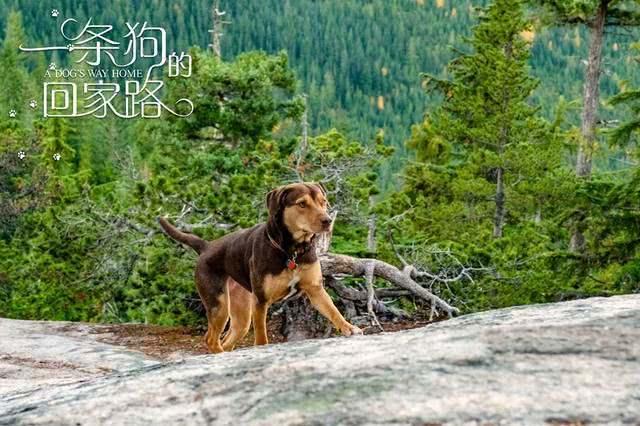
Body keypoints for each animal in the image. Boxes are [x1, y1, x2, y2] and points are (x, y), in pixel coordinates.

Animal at [158, 183, 362, 352]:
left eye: (323, 202)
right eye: (302, 204)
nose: (327, 221)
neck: (291, 250)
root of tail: (207, 246)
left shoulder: (315, 289)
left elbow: (333, 310)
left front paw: (348, 327)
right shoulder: (261, 300)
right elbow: (262, 336)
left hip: (241, 316)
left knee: (226, 340)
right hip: (219, 305)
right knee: (211, 339)